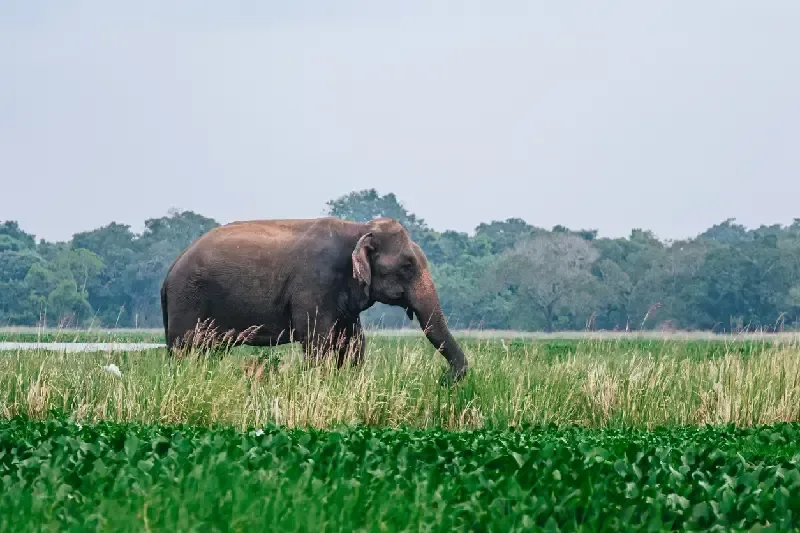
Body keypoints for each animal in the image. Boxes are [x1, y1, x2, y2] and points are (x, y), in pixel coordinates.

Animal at [159, 216, 469, 383]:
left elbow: (353, 343)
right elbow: (318, 342)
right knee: (187, 351)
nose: (443, 380)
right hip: (188, 301)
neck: (359, 229)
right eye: (407, 266)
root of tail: (169, 273)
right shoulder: (314, 286)